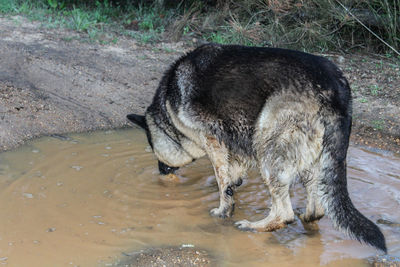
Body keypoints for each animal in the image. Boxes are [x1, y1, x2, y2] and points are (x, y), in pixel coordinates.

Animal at [126, 44, 386, 253]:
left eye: (154, 150)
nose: (161, 171)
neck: (169, 110)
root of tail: (335, 87)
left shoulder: (212, 140)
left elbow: (222, 181)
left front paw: (223, 210)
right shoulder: (234, 143)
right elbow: (232, 173)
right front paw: (233, 186)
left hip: (269, 147)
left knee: (284, 214)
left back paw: (254, 226)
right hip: (311, 160)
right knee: (315, 210)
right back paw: (305, 219)